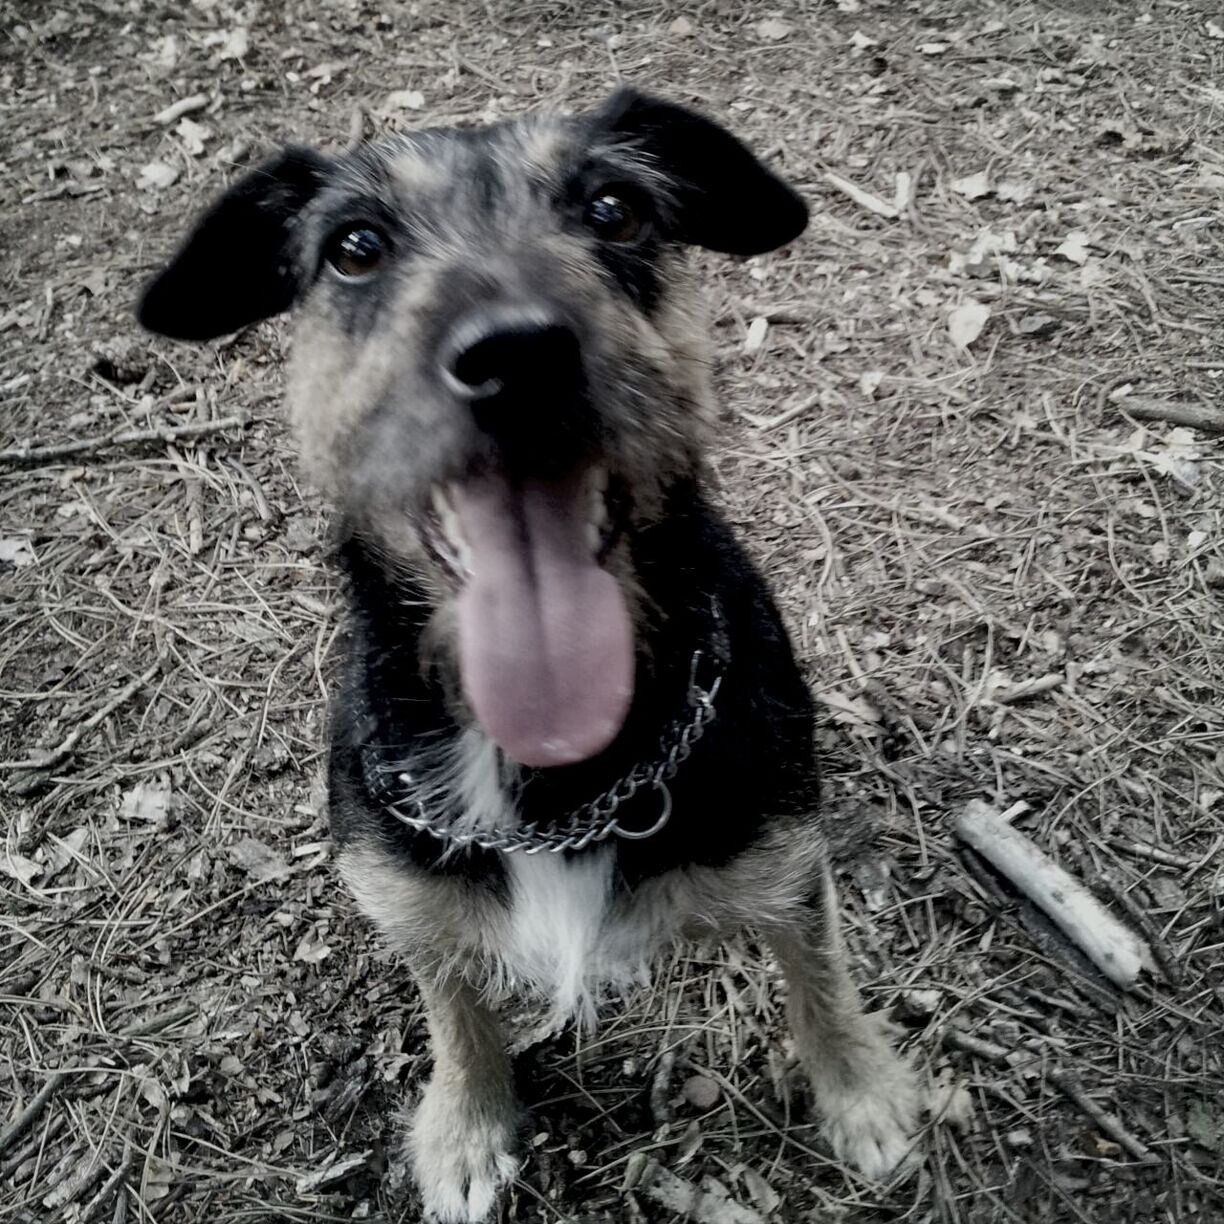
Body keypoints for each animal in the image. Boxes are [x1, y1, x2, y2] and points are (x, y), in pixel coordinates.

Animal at [138, 88, 920, 1224]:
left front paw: (863, 1091)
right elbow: (452, 1002)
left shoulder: (782, 855)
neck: (557, 779)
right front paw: (465, 1126)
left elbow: (819, 971)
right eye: (355, 247)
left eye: (615, 209)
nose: (517, 353)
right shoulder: (406, 890)